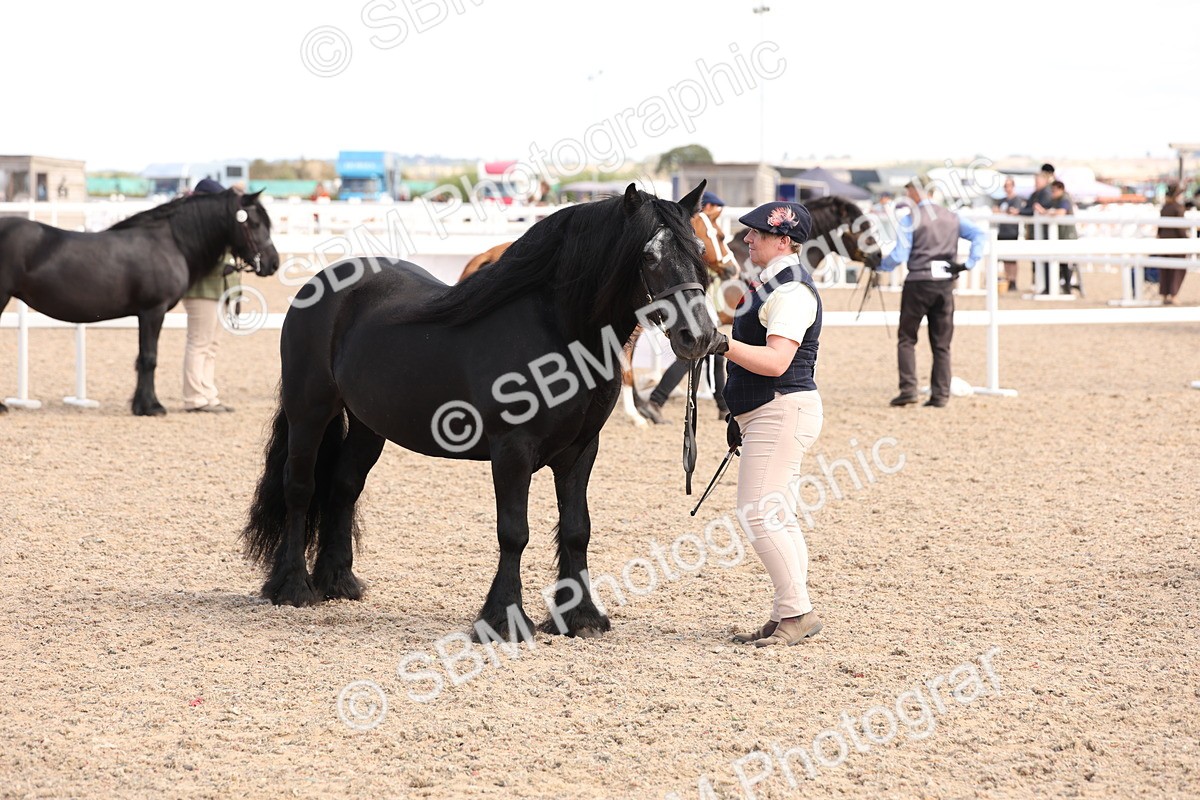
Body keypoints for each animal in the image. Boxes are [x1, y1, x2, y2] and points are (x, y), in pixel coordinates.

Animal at [0, 189, 280, 415]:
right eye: (255, 223)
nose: (273, 263)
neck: (170, 242)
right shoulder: (153, 311)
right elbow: (149, 358)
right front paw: (150, 407)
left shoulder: (144, 314)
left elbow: (143, 357)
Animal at [241, 182, 718, 640]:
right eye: (650, 256)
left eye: (698, 249)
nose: (700, 337)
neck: (558, 334)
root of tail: (323, 283)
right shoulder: (512, 450)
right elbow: (514, 532)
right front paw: (504, 619)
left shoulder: (582, 450)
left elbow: (577, 528)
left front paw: (580, 617)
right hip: (309, 411)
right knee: (299, 487)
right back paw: (293, 587)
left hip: (366, 425)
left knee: (343, 486)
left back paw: (338, 581)